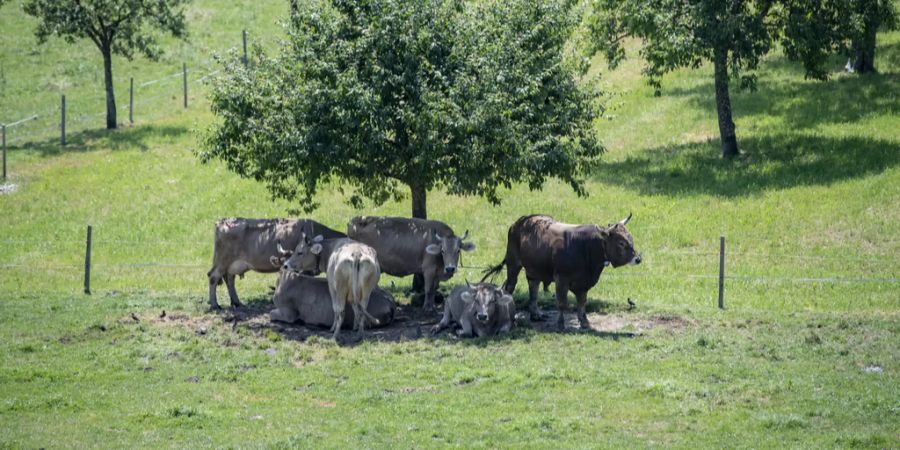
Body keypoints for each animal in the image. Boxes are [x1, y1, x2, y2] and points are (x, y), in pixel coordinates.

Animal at [207, 218, 345, 309]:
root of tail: (222, 221)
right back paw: (215, 304)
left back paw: (236, 302)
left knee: (229, 278)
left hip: (233, 264)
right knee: (213, 276)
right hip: (223, 260)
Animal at [347, 216, 475, 313]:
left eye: (458, 250)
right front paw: (427, 307)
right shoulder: (428, 270)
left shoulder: (437, 274)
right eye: (442, 250)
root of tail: (358, 219)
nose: (450, 269)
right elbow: (428, 289)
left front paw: (432, 306)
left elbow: (434, 289)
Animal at [482, 213, 641, 330]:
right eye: (621, 242)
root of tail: (521, 221)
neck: (585, 246)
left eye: (631, 238)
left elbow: (582, 302)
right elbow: (562, 303)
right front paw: (560, 324)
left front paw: (585, 322)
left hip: (534, 269)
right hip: (513, 264)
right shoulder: (561, 279)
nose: (638, 258)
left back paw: (535, 313)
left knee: (533, 287)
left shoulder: (583, 282)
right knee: (510, 286)